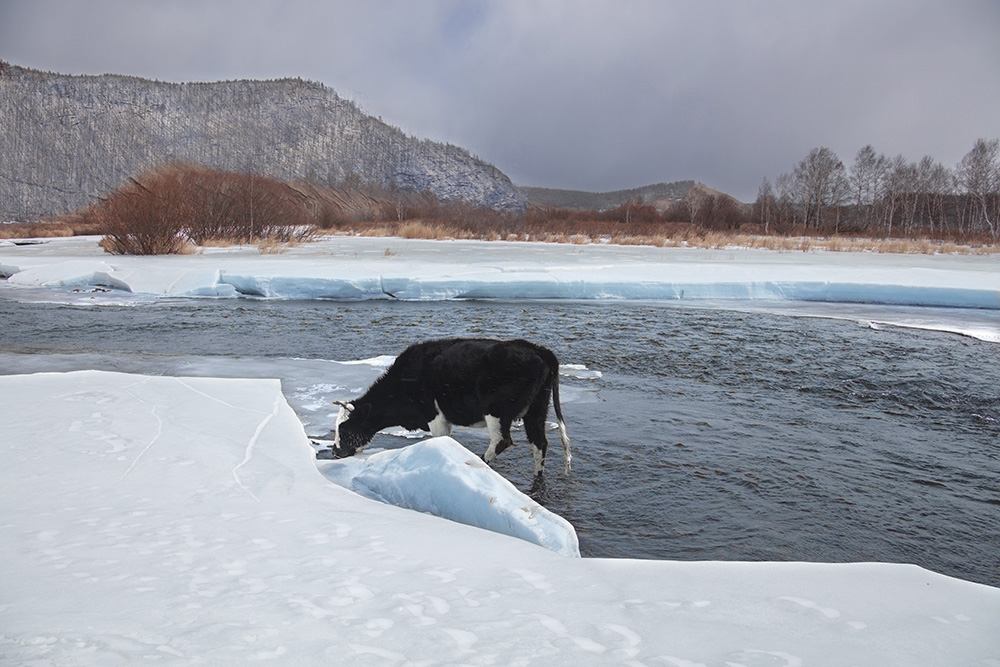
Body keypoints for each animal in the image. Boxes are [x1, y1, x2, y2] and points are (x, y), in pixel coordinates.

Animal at [332, 340, 572, 474]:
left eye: (344, 429)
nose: (335, 452)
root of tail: (539, 350)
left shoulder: (435, 416)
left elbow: (439, 440)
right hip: (536, 410)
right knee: (540, 444)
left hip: (496, 410)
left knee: (502, 440)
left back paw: (479, 462)